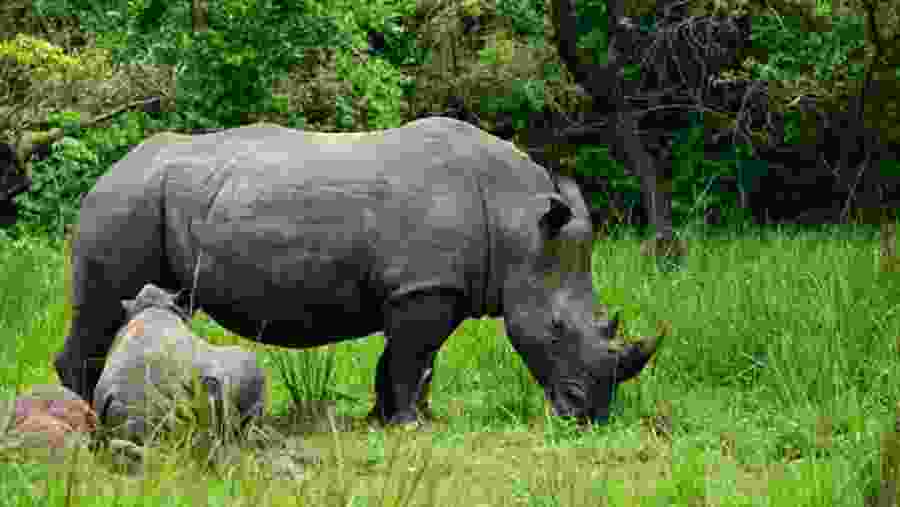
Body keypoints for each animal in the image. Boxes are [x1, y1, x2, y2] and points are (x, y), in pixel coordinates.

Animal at [55, 116, 664, 426]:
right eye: (558, 330)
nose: (589, 416)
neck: (519, 222)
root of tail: (108, 170)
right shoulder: (423, 288)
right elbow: (413, 358)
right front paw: (410, 426)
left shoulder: (426, 288)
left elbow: (407, 361)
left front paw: (394, 421)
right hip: (124, 202)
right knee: (105, 308)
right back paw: (83, 417)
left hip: (144, 197)